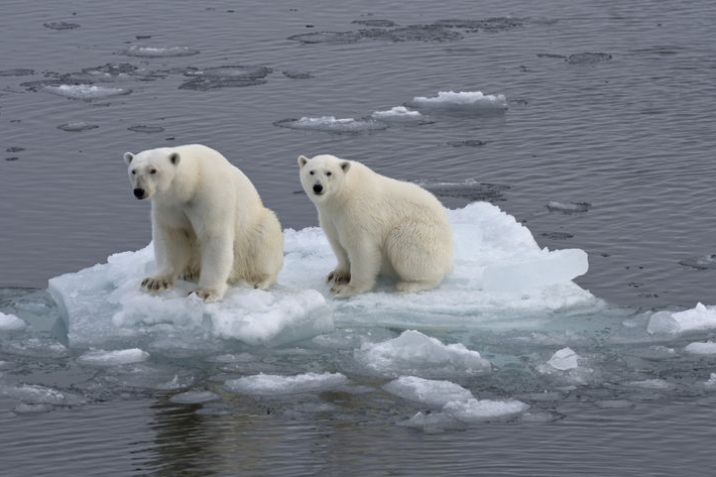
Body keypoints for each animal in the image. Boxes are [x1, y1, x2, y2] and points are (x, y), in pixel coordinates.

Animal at [124, 144, 284, 302]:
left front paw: (204, 292)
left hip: (254, 229)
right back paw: (188, 272)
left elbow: (214, 236)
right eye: (133, 171)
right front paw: (155, 282)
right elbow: (171, 235)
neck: (194, 179)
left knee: (264, 239)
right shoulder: (169, 205)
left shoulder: (211, 194)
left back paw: (260, 280)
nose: (139, 191)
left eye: (153, 170)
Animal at [298, 153, 454, 298]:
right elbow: (337, 244)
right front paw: (337, 275)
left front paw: (346, 289)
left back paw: (409, 285)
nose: (318, 187)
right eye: (311, 172)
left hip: (423, 235)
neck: (342, 196)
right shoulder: (329, 218)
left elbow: (362, 249)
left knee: (403, 245)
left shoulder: (358, 212)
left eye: (328, 173)